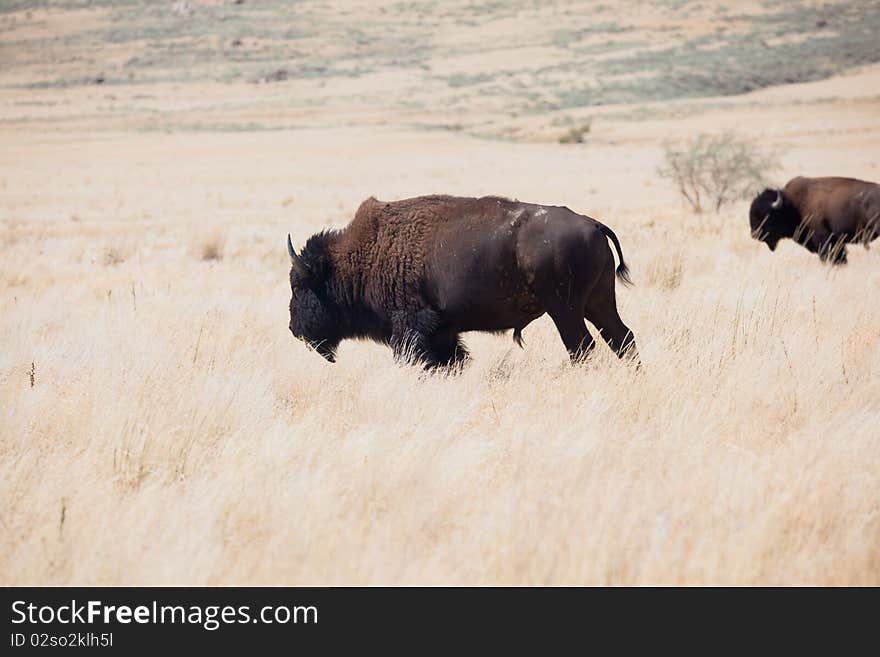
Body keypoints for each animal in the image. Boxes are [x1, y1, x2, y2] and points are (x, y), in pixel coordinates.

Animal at [288, 195, 640, 368]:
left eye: (300, 286)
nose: (294, 328)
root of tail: (592, 224)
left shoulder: (410, 326)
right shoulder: (442, 332)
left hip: (564, 309)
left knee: (582, 346)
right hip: (598, 302)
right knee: (622, 338)